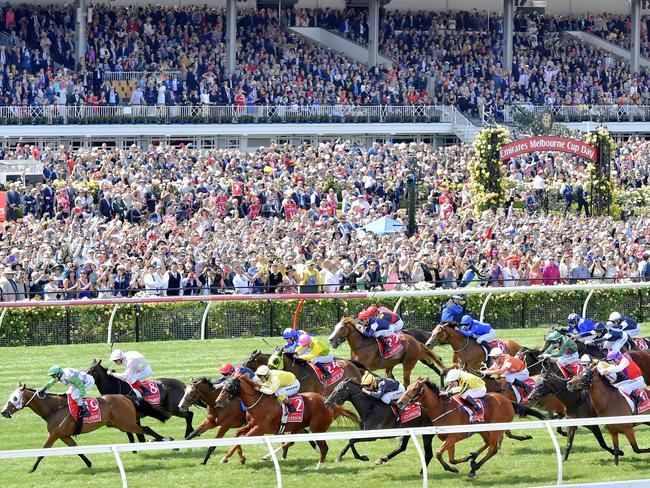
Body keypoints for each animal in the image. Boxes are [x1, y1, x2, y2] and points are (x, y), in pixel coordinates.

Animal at [0, 386, 167, 472]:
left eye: (15, 398)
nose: (3, 412)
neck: (54, 409)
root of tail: (125, 397)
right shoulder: (64, 436)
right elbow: (77, 449)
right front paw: (89, 464)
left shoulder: (54, 434)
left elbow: (42, 452)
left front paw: (32, 468)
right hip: (118, 424)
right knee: (143, 429)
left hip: (126, 423)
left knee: (146, 428)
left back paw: (165, 439)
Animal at [214, 374, 360, 468]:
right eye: (223, 386)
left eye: (230, 386)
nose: (217, 401)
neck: (257, 403)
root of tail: (328, 404)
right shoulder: (251, 425)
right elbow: (237, 435)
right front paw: (236, 457)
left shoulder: (259, 429)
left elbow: (241, 439)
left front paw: (226, 458)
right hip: (297, 427)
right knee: (291, 442)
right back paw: (269, 455)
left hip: (317, 429)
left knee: (324, 448)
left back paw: (319, 466)